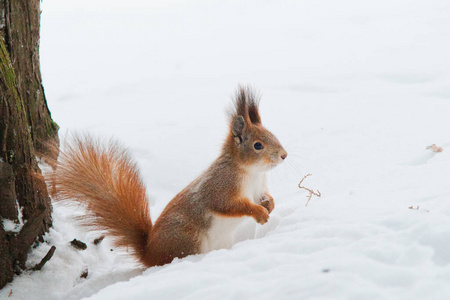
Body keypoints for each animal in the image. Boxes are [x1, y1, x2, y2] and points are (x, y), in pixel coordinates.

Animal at [49, 86, 286, 268]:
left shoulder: (258, 189)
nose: (284, 155)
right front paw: (259, 213)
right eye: (258, 145)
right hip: (187, 239)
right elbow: (230, 205)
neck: (252, 173)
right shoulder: (220, 186)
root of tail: (150, 254)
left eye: (273, 134)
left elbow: (264, 198)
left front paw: (270, 204)